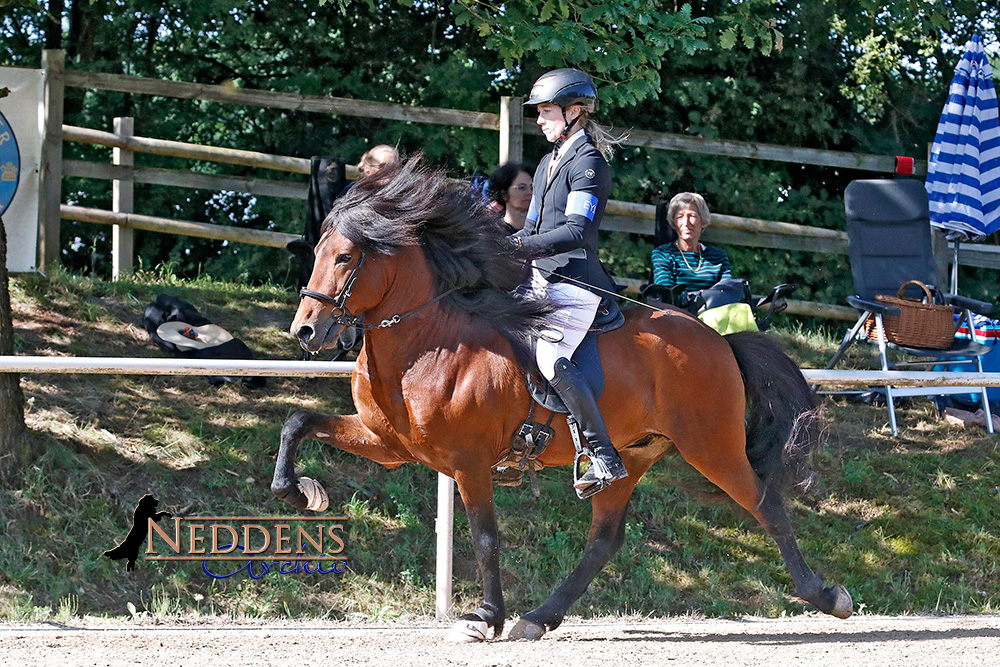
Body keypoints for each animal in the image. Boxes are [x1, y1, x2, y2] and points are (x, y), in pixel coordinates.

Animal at [274, 158, 852, 640]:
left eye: (345, 257)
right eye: (317, 253)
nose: (306, 331)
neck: (426, 344)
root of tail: (719, 339)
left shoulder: (467, 462)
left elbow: (485, 538)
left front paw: (484, 617)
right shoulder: (388, 444)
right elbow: (297, 421)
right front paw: (301, 492)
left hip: (712, 445)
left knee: (765, 504)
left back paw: (828, 596)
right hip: (634, 454)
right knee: (604, 540)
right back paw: (539, 617)